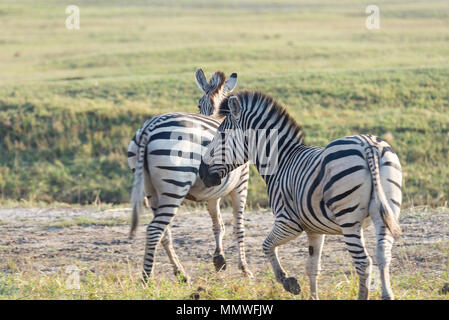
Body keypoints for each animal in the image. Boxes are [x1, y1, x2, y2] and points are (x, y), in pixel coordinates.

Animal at [127, 69, 252, 282]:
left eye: (198, 104)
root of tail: (148, 128)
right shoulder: (240, 183)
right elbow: (238, 227)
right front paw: (244, 268)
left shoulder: (213, 191)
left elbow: (218, 224)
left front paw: (219, 259)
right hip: (175, 184)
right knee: (154, 230)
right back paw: (146, 279)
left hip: (150, 190)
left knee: (164, 233)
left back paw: (181, 273)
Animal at [200, 90, 402, 300]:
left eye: (222, 136)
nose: (202, 173)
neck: (281, 161)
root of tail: (367, 145)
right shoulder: (315, 229)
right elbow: (312, 267)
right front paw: (312, 296)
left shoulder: (288, 221)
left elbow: (266, 245)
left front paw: (288, 281)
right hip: (386, 211)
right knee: (383, 254)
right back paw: (387, 295)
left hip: (349, 219)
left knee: (363, 262)